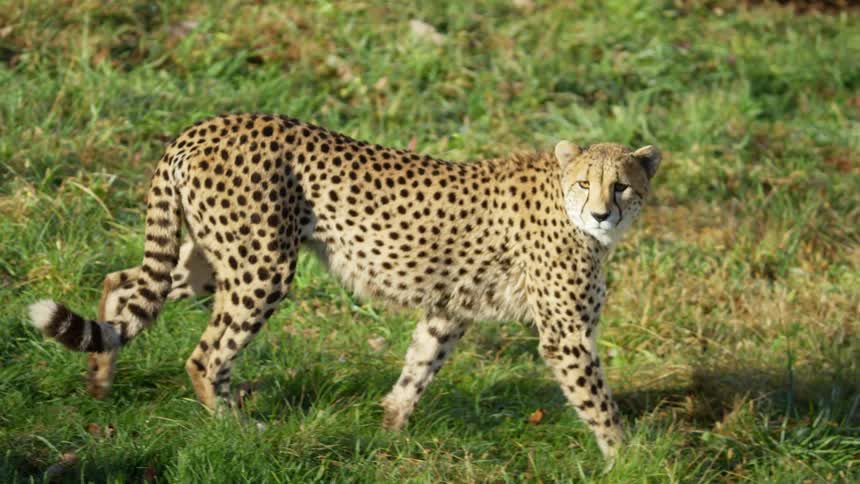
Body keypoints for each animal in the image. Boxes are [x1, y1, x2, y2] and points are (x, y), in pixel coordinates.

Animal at [27, 113, 660, 462]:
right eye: (586, 184)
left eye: (622, 186)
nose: (602, 214)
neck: (567, 207)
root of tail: (205, 126)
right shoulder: (567, 336)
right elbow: (599, 404)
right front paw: (628, 460)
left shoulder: (447, 310)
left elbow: (417, 368)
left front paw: (388, 433)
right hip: (262, 267)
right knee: (205, 356)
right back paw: (237, 429)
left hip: (215, 260)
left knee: (123, 284)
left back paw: (100, 382)